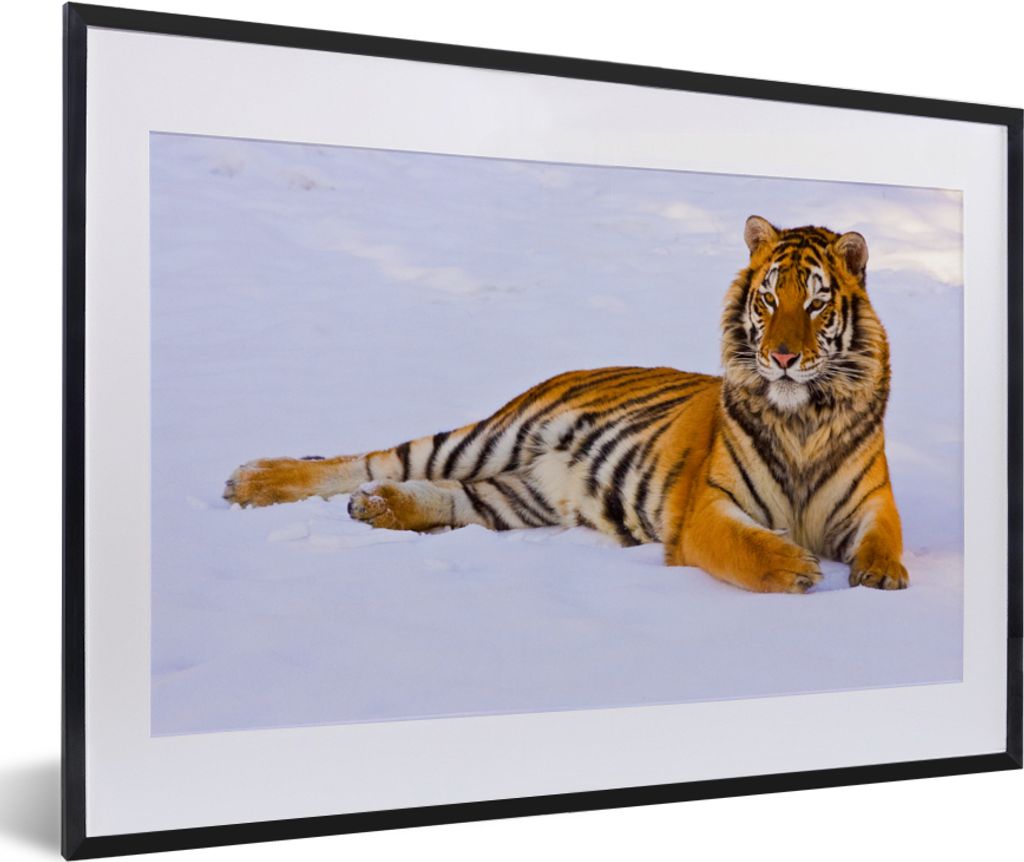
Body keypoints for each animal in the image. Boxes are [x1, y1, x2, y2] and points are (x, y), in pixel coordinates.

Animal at [223, 215, 907, 593]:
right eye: (768, 300)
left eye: (815, 302)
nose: (783, 357)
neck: (803, 417)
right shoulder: (707, 509)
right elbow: (747, 548)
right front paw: (796, 568)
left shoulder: (871, 501)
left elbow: (886, 540)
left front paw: (882, 576)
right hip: (491, 435)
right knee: (370, 460)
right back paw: (251, 480)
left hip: (517, 494)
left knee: (443, 495)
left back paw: (375, 508)